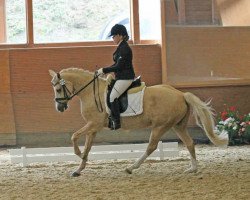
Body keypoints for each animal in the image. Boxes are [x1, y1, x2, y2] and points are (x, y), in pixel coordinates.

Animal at [48, 67, 229, 177]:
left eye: (58, 89)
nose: (60, 107)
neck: (90, 93)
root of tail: (181, 94)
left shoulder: (94, 124)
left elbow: (74, 137)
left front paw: (78, 155)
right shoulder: (93, 128)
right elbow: (87, 147)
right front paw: (78, 169)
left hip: (160, 126)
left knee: (152, 147)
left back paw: (131, 167)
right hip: (178, 126)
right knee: (190, 143)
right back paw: (193, 168)